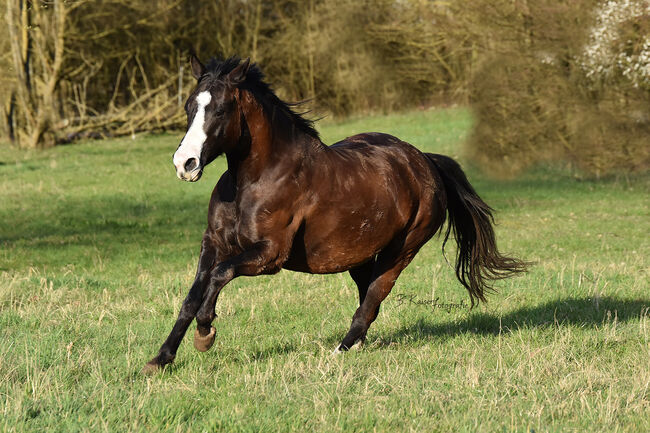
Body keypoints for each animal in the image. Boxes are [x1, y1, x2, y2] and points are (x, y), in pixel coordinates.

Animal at [139, 54, 524, 372]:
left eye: (220, 110)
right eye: (189, 106)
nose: (184, 164)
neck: (255, 179)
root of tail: (425, 161)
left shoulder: (269, 255)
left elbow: (220, 276)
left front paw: (205, 333)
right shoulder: (214, 242)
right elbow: (193, 295)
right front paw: (160, 359)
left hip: (402, 250)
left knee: (374, 296)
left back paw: (342, 348)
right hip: (359, 254)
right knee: (368, 295)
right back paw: (357, 344)